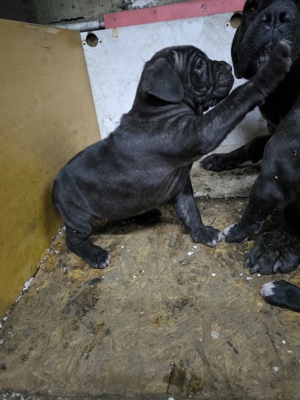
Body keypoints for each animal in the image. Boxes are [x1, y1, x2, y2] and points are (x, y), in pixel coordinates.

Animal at [51, 43, 290, 268]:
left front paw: (201, 231)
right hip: (77, 217)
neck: (158, 108)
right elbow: (235, 100)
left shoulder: (180, 184)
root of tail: (53, 188)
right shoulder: (200, 132)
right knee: (74, 240)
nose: (228, 66)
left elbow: (189, 209)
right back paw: (94, 254)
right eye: (199, 65)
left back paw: (146, 214)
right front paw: (272, 68)